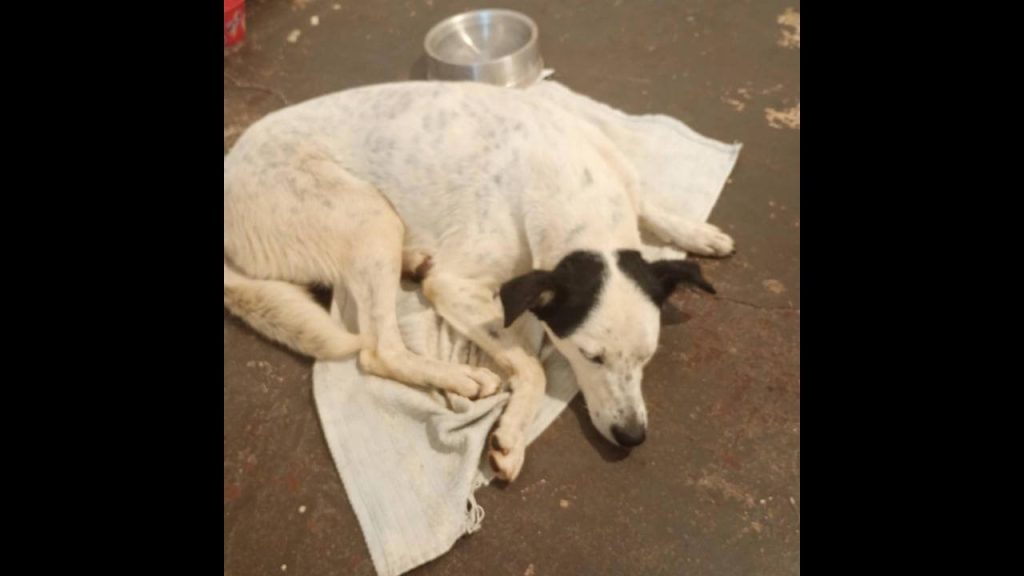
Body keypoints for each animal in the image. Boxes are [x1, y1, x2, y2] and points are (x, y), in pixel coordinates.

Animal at [226, 80, 737, 479]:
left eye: (648, 356)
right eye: (590, 356)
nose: (632, 436)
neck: (579, 192)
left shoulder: (622, 181)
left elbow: (650, 204)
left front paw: (697, 233)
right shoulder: (455, 286)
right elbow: (531, 366)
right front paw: (513, 434)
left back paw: (413, 260)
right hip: (370, 216)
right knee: (379, 350)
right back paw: (461, 377)